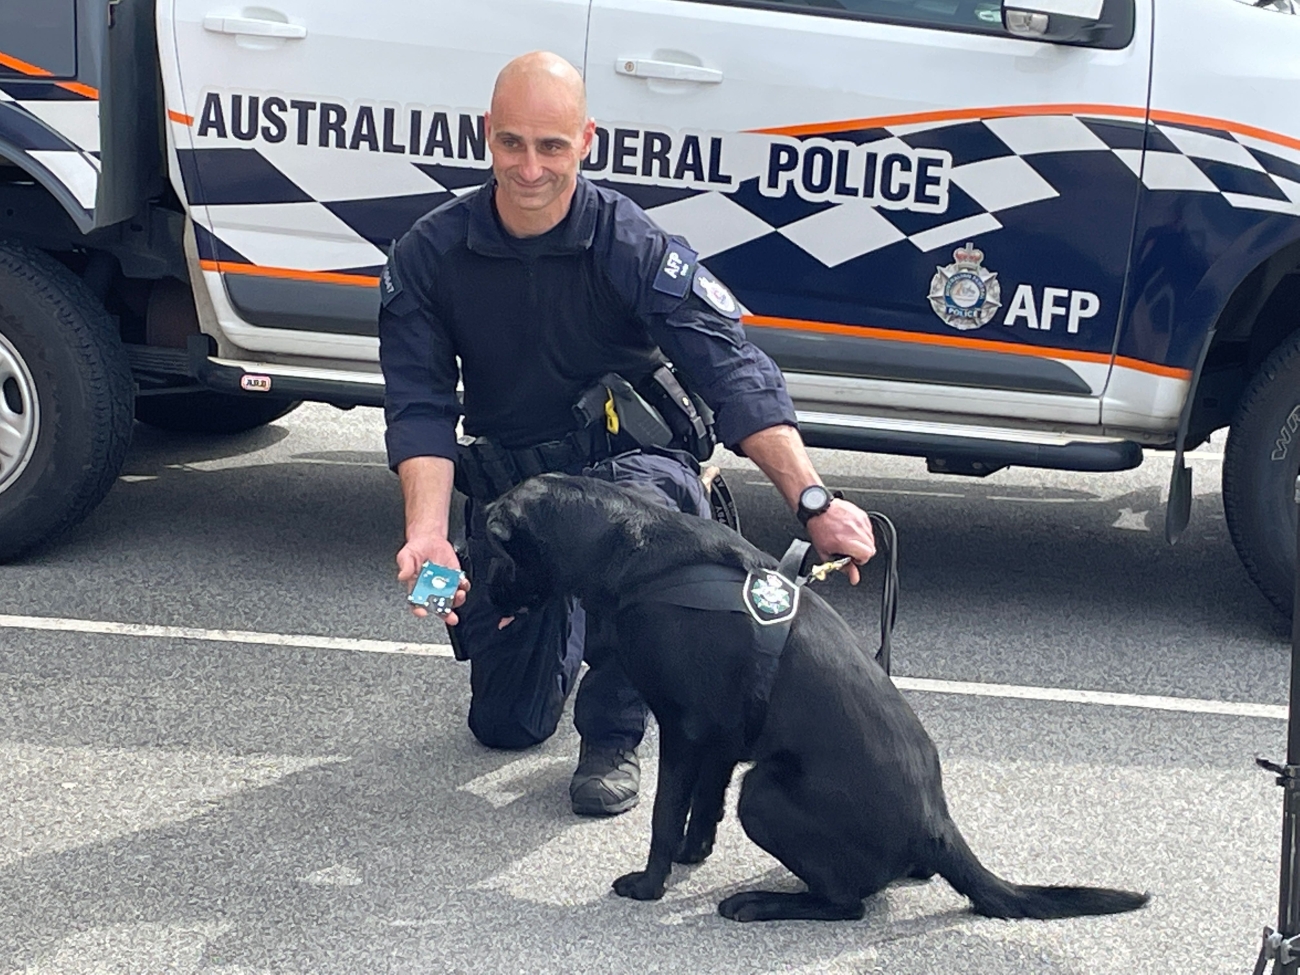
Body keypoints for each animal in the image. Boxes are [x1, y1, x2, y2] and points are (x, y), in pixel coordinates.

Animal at [486, 473, 1149, 925]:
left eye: (491, 552)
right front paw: (692, 856)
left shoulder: (685, 727)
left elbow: (665, 813)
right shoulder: (722, 737)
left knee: (848, 903)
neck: (632, 553)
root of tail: (938, 825)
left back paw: (760, 903)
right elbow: (702, 805)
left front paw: (650, 885)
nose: (484, 599)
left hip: (765, 791)